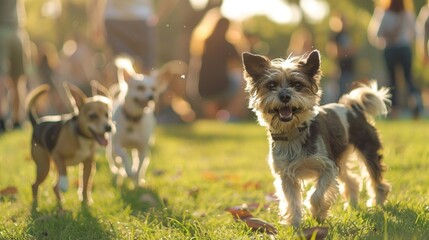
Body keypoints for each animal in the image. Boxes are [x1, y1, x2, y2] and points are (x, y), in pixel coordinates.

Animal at [26, 81, 113, 209]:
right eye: (93, 116)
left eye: (107, 115)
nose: (108, 127)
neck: (81, 136)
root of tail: (36, 123)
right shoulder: (57, 155)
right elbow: (64, 171)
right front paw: (64, 183)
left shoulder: (88, 164)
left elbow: (85, 183)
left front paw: (85, 201)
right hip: (44, 166)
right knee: (35, 185)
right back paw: (36, 204)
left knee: (54, 187)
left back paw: (60, 204)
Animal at [242, 50, 390, 227]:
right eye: (271, 85)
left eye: (297, 85)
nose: (284, 96)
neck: (293, 133)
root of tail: (352, 107)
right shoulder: (286, 175)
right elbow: (292, 200)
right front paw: (294, 224)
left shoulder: (328, 167)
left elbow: (316, 195)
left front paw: (318, 213)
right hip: (340, 157)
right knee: (352, 181)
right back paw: (352, 205)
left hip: (366, 149)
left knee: (376, 179)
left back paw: (377, 203)